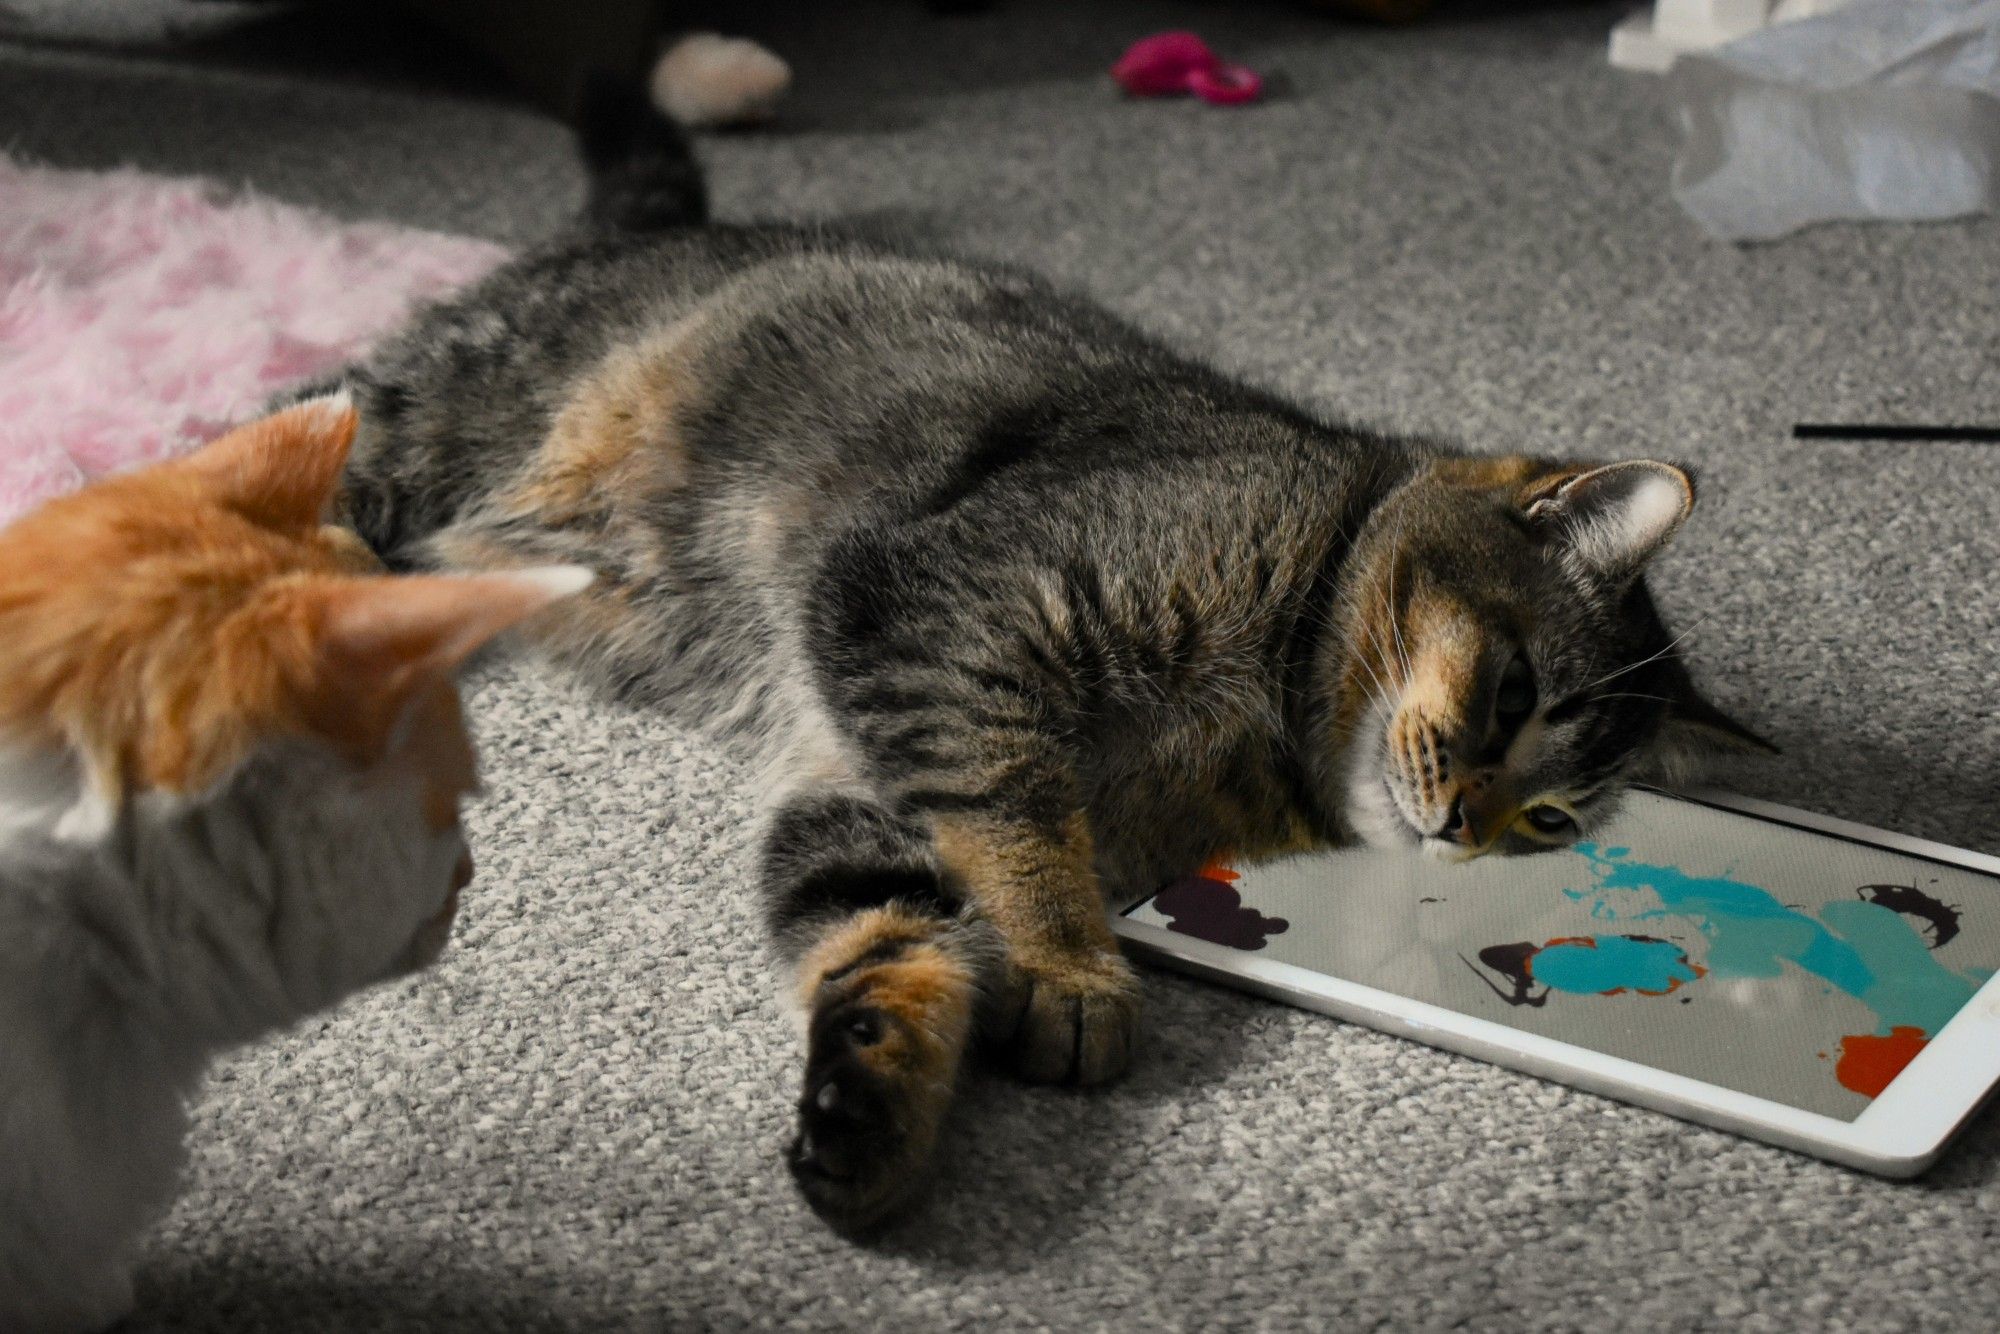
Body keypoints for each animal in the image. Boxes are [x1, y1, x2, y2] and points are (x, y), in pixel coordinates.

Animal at [308, 91, 1768, 1232]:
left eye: (1556, 818)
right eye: (1515, 691)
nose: (1468, 823)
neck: (1262, 722)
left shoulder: (861, 774)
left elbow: (883, 938)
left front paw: (873, 1104)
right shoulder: (936, 614)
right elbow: (1015, 827)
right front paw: (1071, 970)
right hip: (436, 416)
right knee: (293, 437)